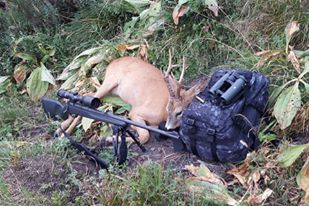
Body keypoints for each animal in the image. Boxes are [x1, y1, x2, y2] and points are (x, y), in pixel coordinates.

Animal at [56, 55, 208, 145]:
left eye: (179, 112)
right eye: (168, 108)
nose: (168, 127)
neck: (162, 114)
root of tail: (113, 61)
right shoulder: (135, 112)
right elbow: (145, 135)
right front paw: (108, 138)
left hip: (114, 93)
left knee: (87, 95)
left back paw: (62, 126)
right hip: (109, 81)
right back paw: (63, 133)